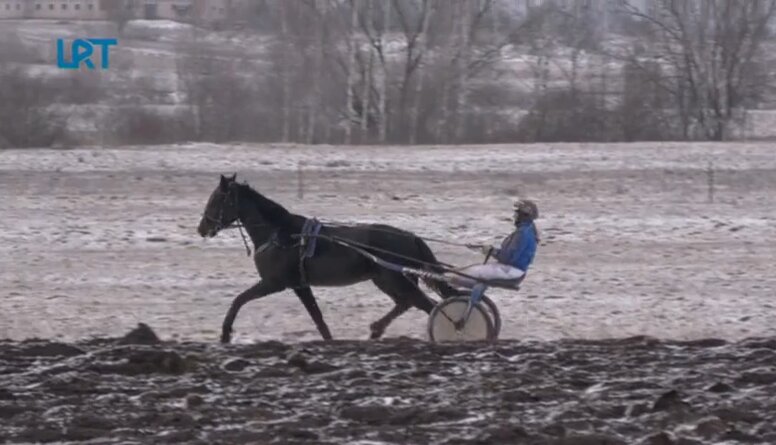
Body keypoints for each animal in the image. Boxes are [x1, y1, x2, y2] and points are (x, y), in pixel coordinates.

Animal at [197, 174, 458, 344]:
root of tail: (411, 237)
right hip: (386, 280)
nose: (202, 228)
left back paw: (454, 329)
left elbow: (238, 300)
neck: (281, 234)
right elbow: (318, 318)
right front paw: (330, 341)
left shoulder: (276, 283)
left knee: (427, 305)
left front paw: (225, 334)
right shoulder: (299, 285)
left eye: (216, 199)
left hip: (395, 279)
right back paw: (376, 329)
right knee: (407, 303)